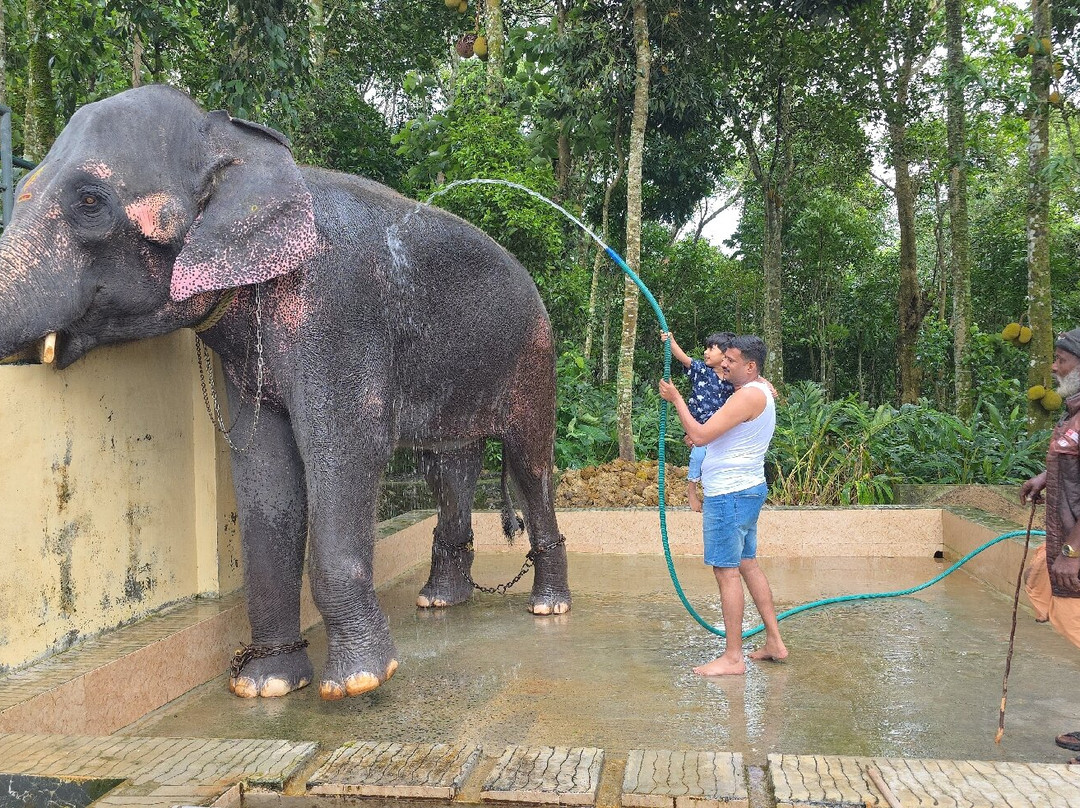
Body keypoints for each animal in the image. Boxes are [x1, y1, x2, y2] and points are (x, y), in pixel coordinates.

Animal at [0, 84, 571, 700]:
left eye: (89, 202)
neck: (239, 144)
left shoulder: (337, 309)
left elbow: (346, 451)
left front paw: (358, 682)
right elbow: (264, 468)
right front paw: (266, 685)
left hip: (534, 357)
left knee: (529, 464)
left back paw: (548, 607)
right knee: (447, 469)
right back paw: (439, 601)